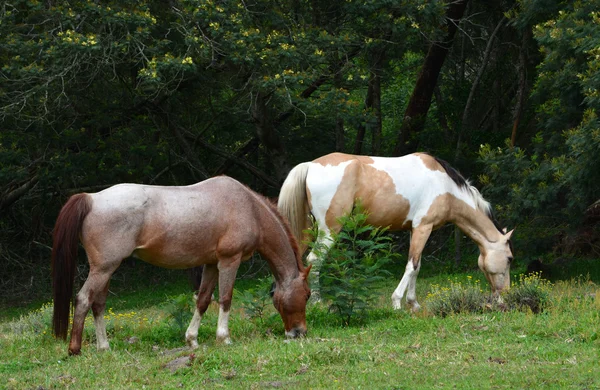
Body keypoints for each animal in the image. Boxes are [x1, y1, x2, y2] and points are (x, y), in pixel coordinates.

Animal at [52, 177, 312, 356]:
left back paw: (104, 347)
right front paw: (224, 338)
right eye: (307, 295)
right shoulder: (229, 260)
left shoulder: (211, 264)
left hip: (106, 270)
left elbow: (203, 300)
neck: (249, 208)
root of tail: (92, 198)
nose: (299, 332)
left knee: (98, 304)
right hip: (104, 268)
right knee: (83, 299)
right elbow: (225, 298)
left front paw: (192, 339)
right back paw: (75, 349)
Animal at [278, 152, 512, 310]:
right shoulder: (423, 227)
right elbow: (412, 266)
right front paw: (398, 302)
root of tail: (310, 165)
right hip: (329, 230)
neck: (445, 186)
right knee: (314, 260)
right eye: (509, 258)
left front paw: (414, 303)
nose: (504, 297)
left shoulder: (416, 230)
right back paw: (317, 301)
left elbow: (417, 267)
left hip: (308, 230)